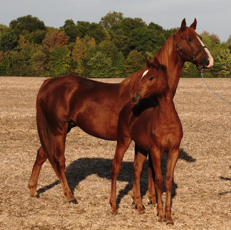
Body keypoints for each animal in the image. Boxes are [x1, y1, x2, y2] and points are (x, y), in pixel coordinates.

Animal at [28, 19, 213, 203]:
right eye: (189, 38)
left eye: (200, 37)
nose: (208, 60)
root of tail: (48, 82)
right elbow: (148, 168)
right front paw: (149, 199)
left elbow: (146, 168)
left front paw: (147, 198)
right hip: (58, 129)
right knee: (58, 159)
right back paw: (69, 195)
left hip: (60, 129)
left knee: (42, 154)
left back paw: (33, 189)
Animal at [110, 57, 182, 225]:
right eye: (141, 75)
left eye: (150, 77)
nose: (134, 95)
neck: (167, 120)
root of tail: (128, 106)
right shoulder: (156, 150)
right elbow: (159, 180)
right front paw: (161, 215)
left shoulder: (174, 151)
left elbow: (168, 181)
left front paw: (169, 217)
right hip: (123, 140)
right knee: (115, 167)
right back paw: (114, 206)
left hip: (141, 147)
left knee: (137, 168)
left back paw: (139, 206)